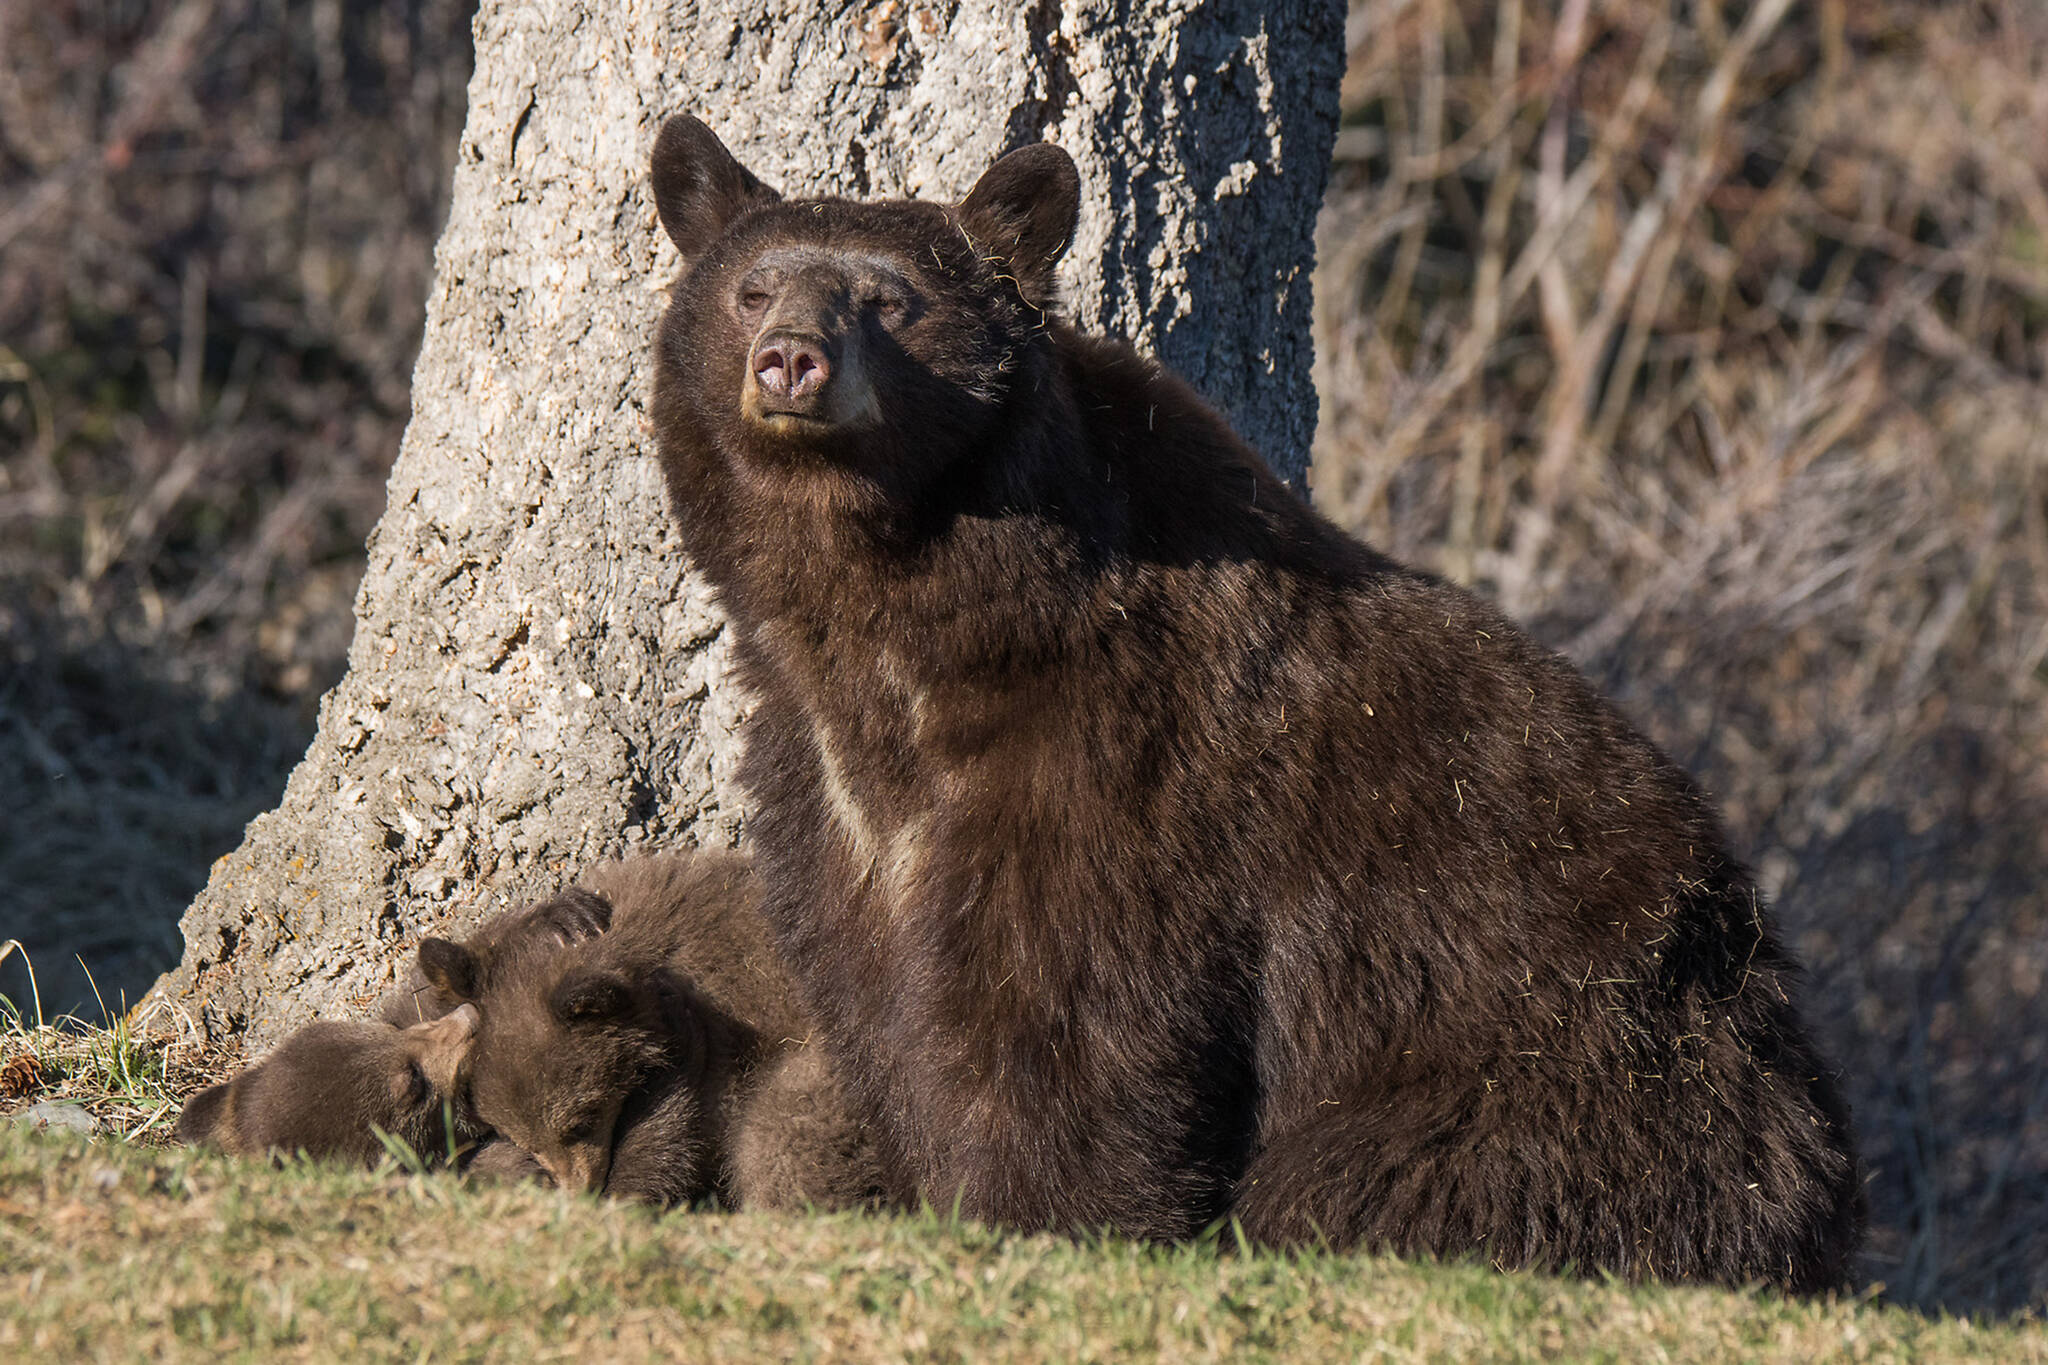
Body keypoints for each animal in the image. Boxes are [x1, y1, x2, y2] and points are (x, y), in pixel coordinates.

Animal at [647, 117, 1867, 1293]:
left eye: (891, 298)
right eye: (750, 287)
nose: (789, 361)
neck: (909, 628)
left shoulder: (1120, 766)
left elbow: (1066, 1014)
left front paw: (1031, 1213)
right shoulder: (829, 787)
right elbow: (870, 992)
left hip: (1563, 1071)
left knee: (1388, 1184)